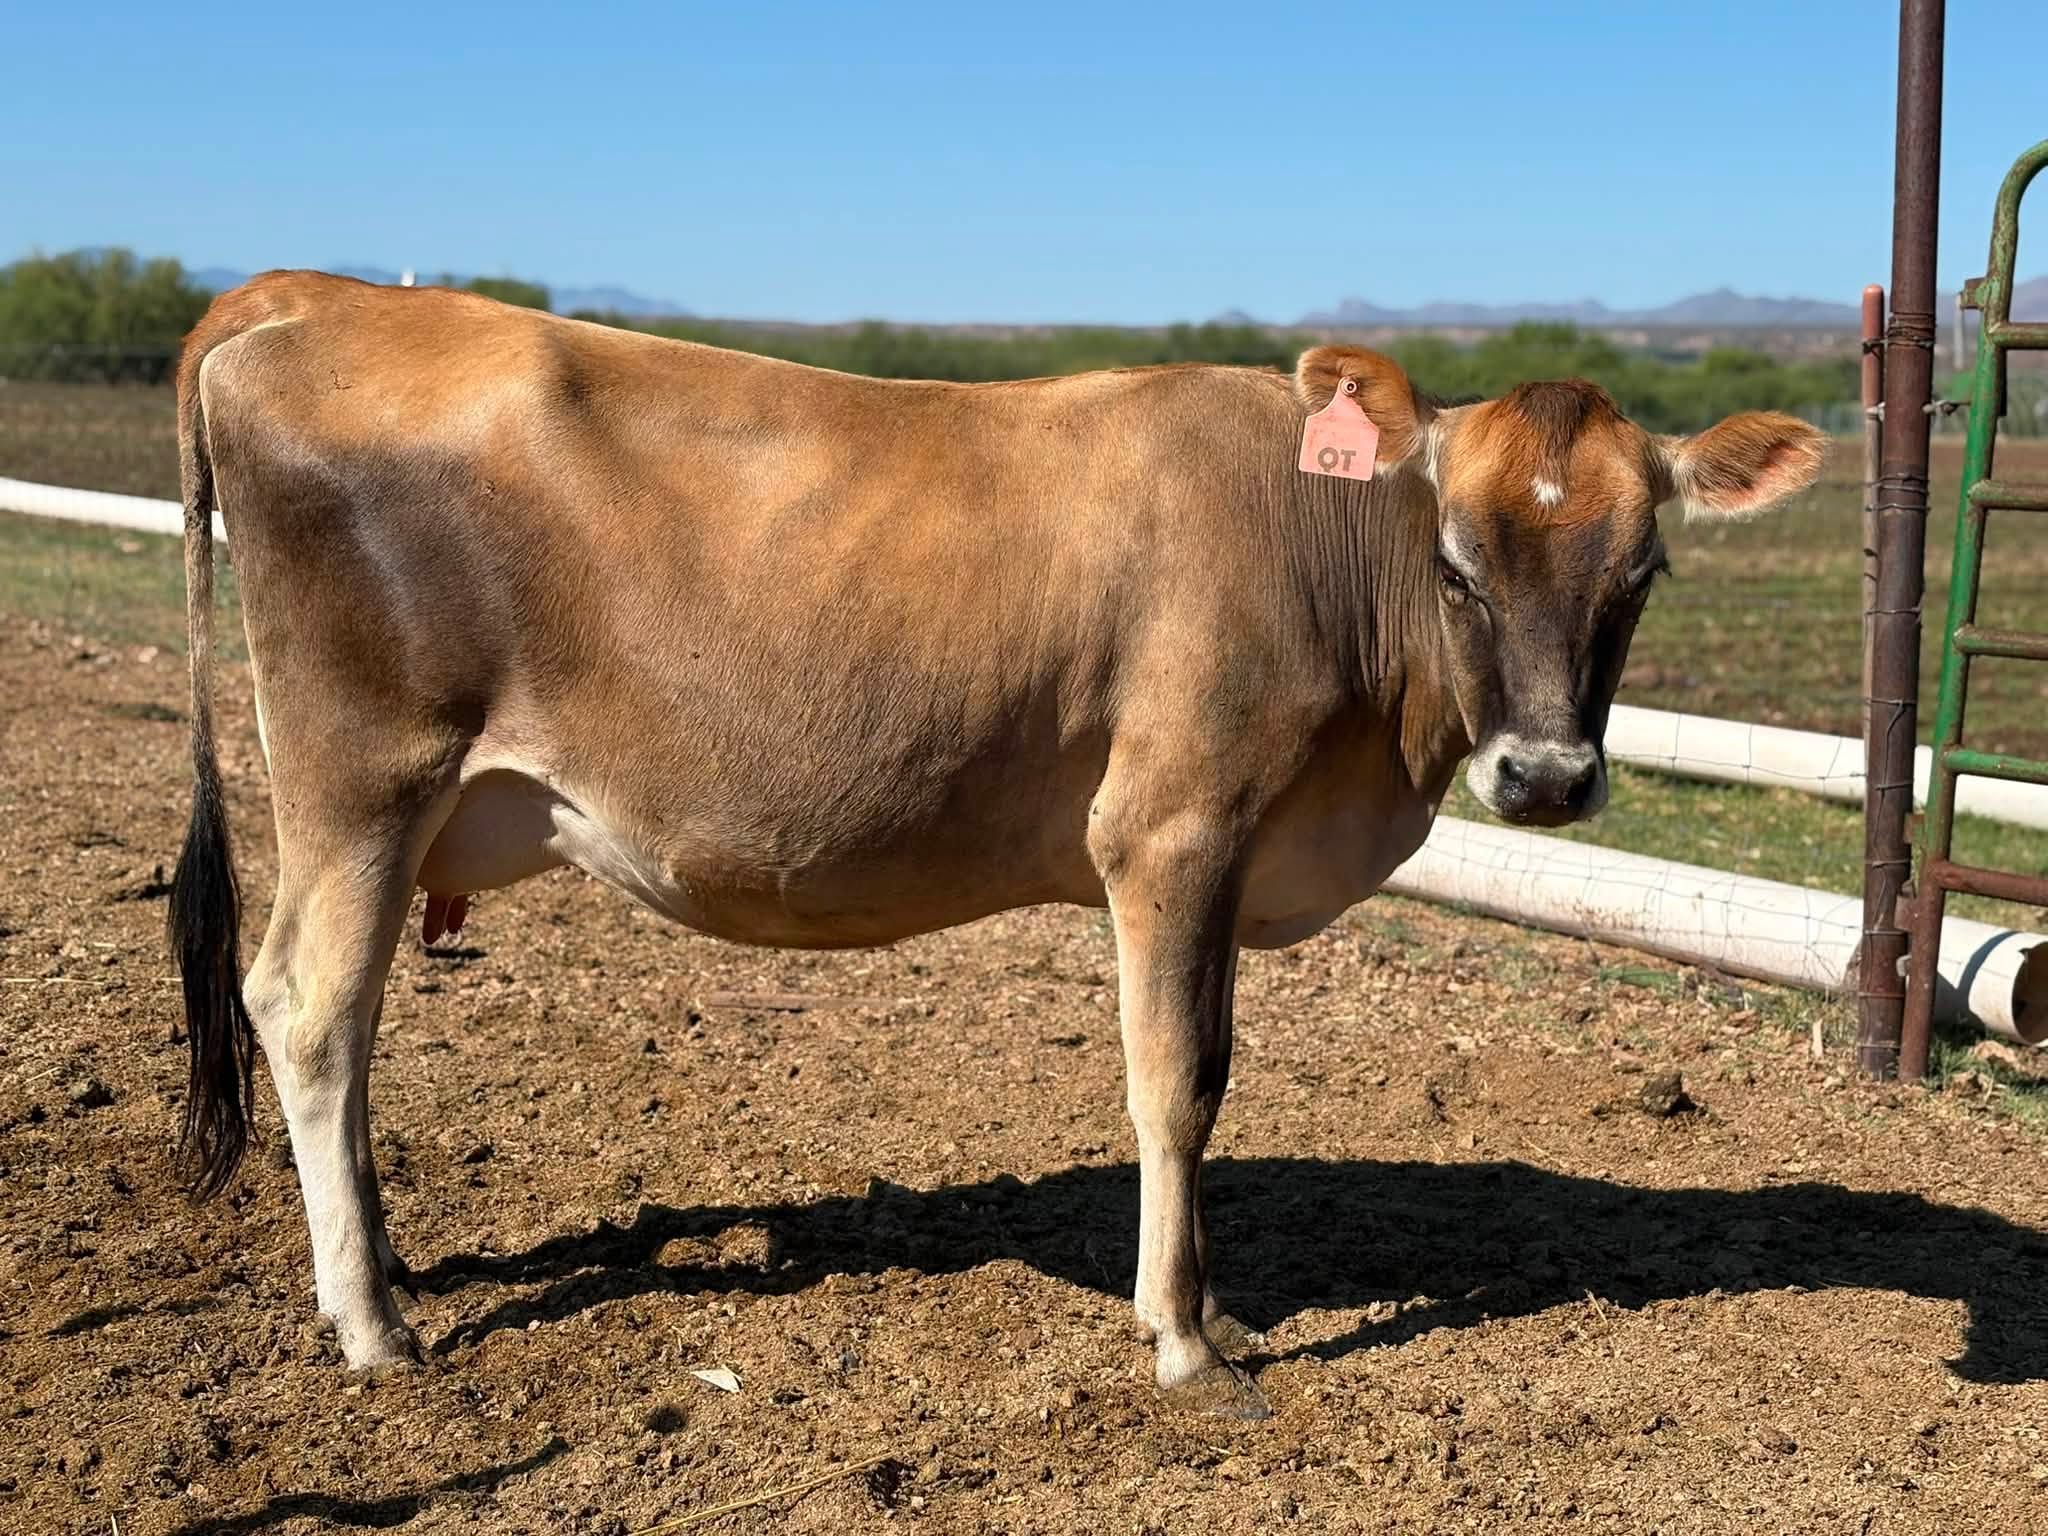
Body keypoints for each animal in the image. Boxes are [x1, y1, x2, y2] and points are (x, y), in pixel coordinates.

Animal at [168, 273, 1825, 1417]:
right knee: (307, 1006)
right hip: (364, 774)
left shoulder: (1226, 851)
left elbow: (1209, 1075)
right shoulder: (1170, 829)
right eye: (1458, 565)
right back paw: (373, 1325)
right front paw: (1185, 1343)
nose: (1544, 778)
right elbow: (1175, 1086)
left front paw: (1208, 1311)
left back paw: (384, 1269)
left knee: (347, 1019)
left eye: (1643, 571)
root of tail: (312, 294)